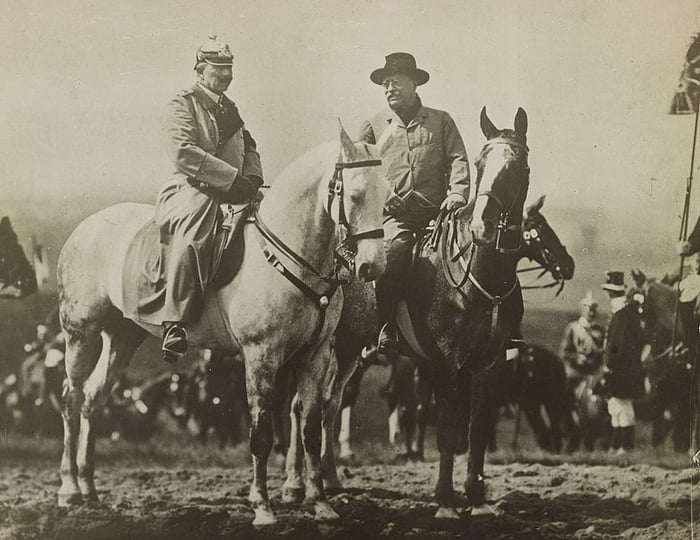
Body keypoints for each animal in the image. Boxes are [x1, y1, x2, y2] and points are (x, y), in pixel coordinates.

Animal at [56, 124, 388, 524]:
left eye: (387, 196)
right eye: (354, 195)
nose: (373, 267)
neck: (287, 255)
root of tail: (85, 226)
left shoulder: (316, 355)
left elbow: (310, 428)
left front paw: (320, 503)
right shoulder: (261, 355)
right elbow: (261, 434)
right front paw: (262, 508)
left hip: (122, 338)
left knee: (92, 399)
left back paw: (89, 488)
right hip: (81, 332)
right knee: (72, 398)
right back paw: (69, 488)